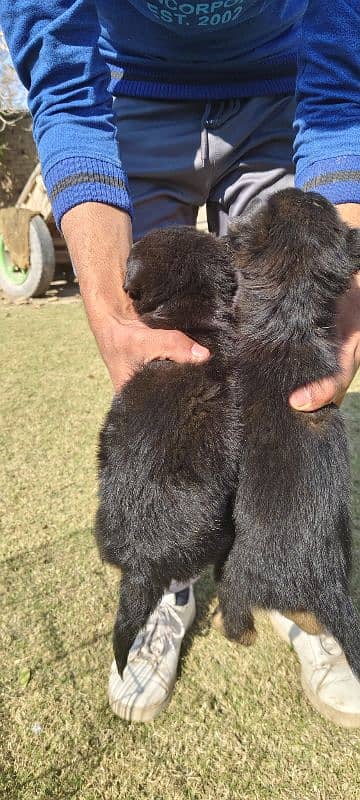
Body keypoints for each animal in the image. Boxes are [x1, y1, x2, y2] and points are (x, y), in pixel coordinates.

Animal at [217, 191, 360, 680]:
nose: (308, 191)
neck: (286, 324)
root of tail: (327, 582)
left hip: (238, 574)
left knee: (236, 609)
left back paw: (237, 631)